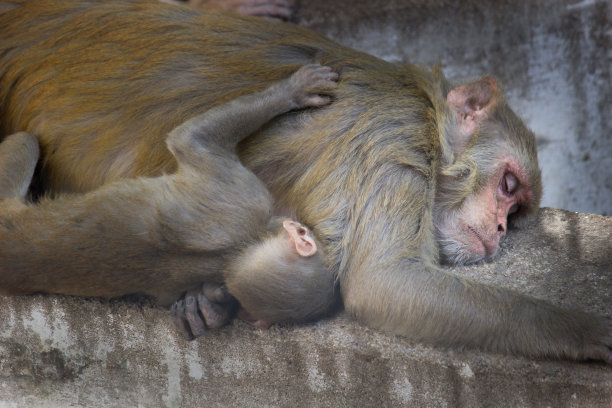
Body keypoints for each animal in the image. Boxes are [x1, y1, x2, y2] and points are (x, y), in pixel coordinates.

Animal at [0, 64, 340, 338]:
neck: (240, 248)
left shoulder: (237, 198)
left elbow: (189, 139)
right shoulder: (241, 195)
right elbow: (190, 138)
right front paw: (291, 91)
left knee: (25, 142)